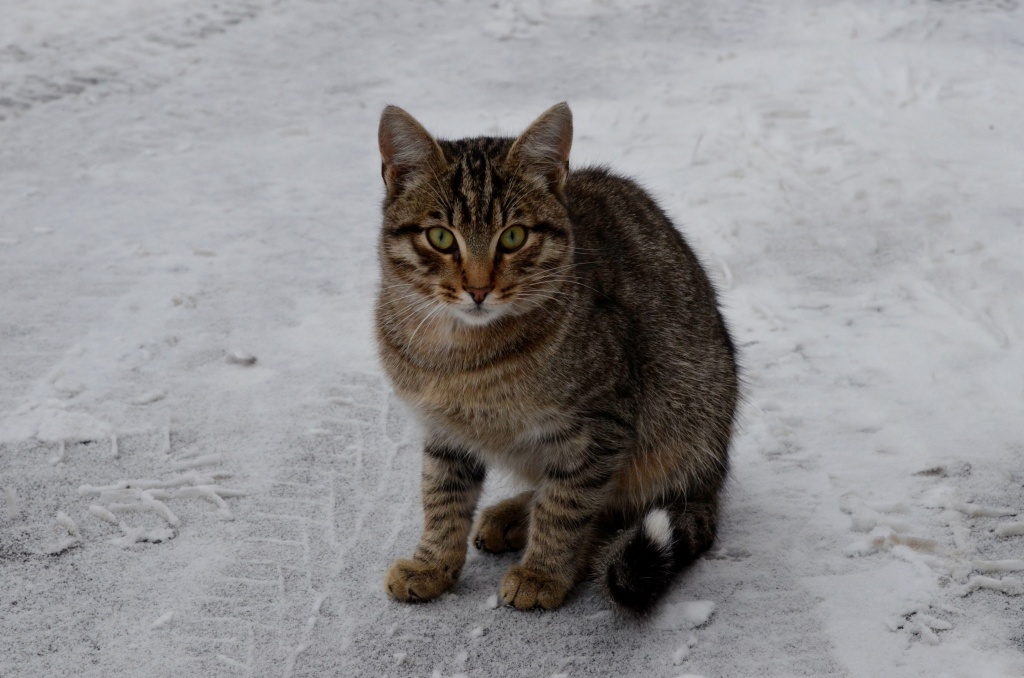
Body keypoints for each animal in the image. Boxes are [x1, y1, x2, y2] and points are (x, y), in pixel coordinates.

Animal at [374, 102, 737, 614]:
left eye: (514, 237)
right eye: (441, 238)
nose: (478, 289)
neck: (461, 354)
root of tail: (712, 478)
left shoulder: (601, 425)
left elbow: (566, 505)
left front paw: (543, 572)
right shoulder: (444, 429)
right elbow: (442, 495)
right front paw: (433, 563)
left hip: (675, 432)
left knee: (612, 510)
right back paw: (512, 514)